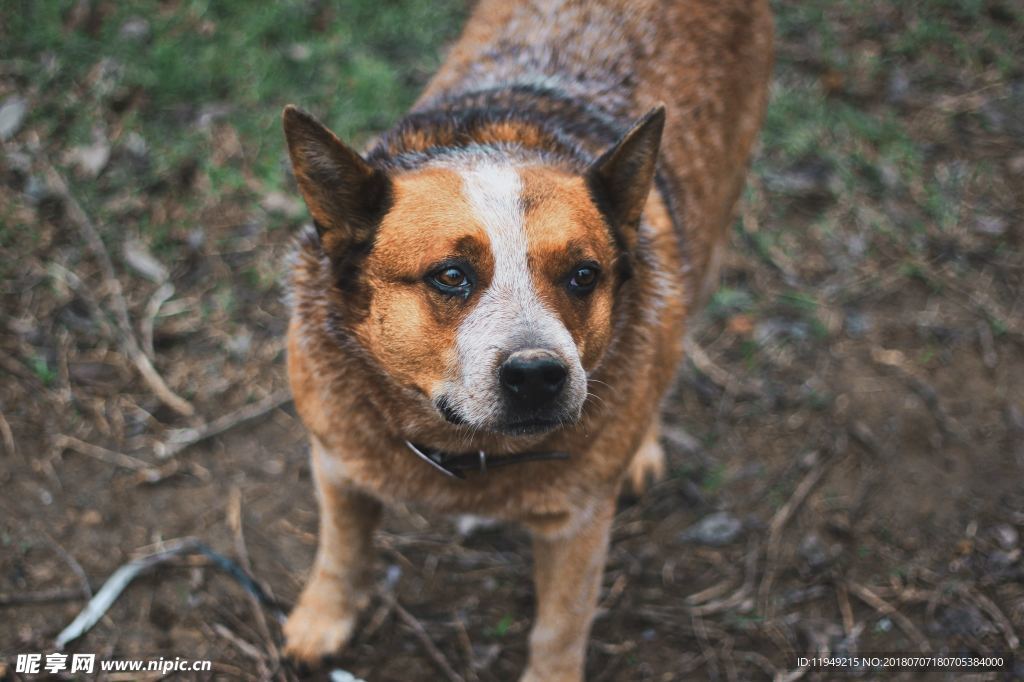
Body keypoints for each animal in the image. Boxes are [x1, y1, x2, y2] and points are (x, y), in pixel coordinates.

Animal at [276, 1, 770, 675]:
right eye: (451, 275)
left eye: (583, 274)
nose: (537, 374)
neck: (465, 449)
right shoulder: (335, 457)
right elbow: (340, 550)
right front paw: (322, 619)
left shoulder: (577, 521)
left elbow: (560, 626)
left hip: (713, 229)